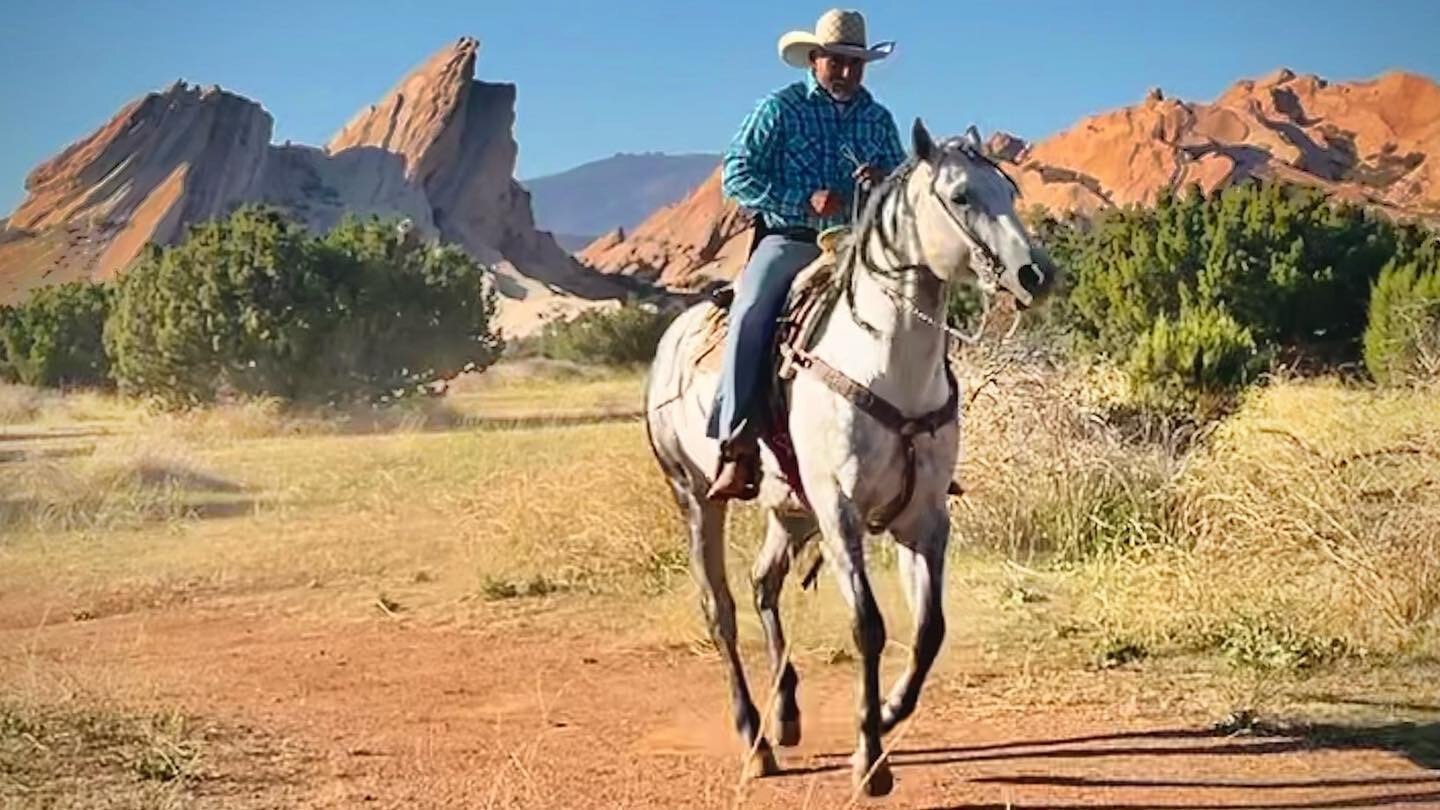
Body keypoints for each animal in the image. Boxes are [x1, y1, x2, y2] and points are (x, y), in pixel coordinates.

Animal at [648, 119, 1054, 795]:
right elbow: (869, 626)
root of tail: (669, 344)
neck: (886, 364)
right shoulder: (840, 512)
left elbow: (929, 629)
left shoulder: (925, 517)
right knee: (721, 610)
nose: (1035, 275)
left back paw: (785, 715)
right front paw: (871, 757)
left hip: (791, 509)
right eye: (962, 196)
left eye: (1011, 192)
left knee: (763, 584)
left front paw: (888, 711)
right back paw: (754, 740)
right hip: (697, 497)